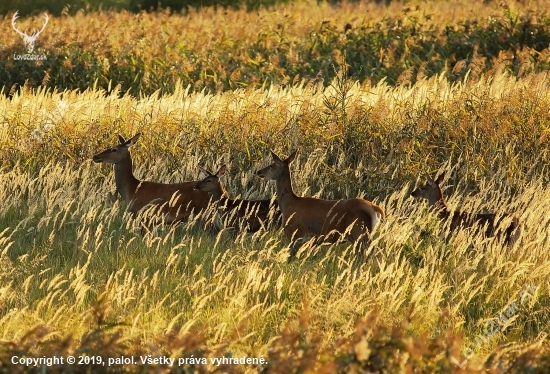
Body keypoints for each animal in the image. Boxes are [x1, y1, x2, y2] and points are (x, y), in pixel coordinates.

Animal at [256, 150, 386, 262]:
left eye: (272, 165)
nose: (259, 171)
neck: (288, 204)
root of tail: (374, 207)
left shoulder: (294, 234)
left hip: (359, 231)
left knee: (373, 252)